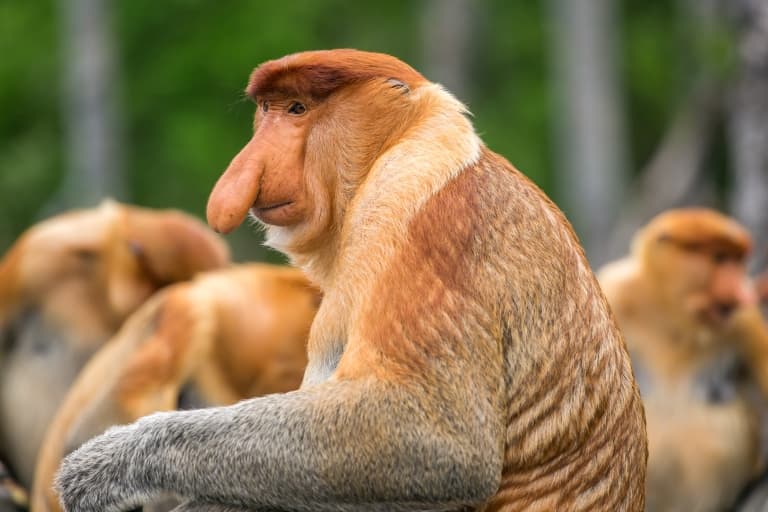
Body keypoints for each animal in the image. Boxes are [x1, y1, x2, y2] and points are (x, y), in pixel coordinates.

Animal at [600, 208, 768, 512]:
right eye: (719, 258)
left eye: (738, 262)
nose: (741, 291)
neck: (674, 319)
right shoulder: (617, 292)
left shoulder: (744, 322)